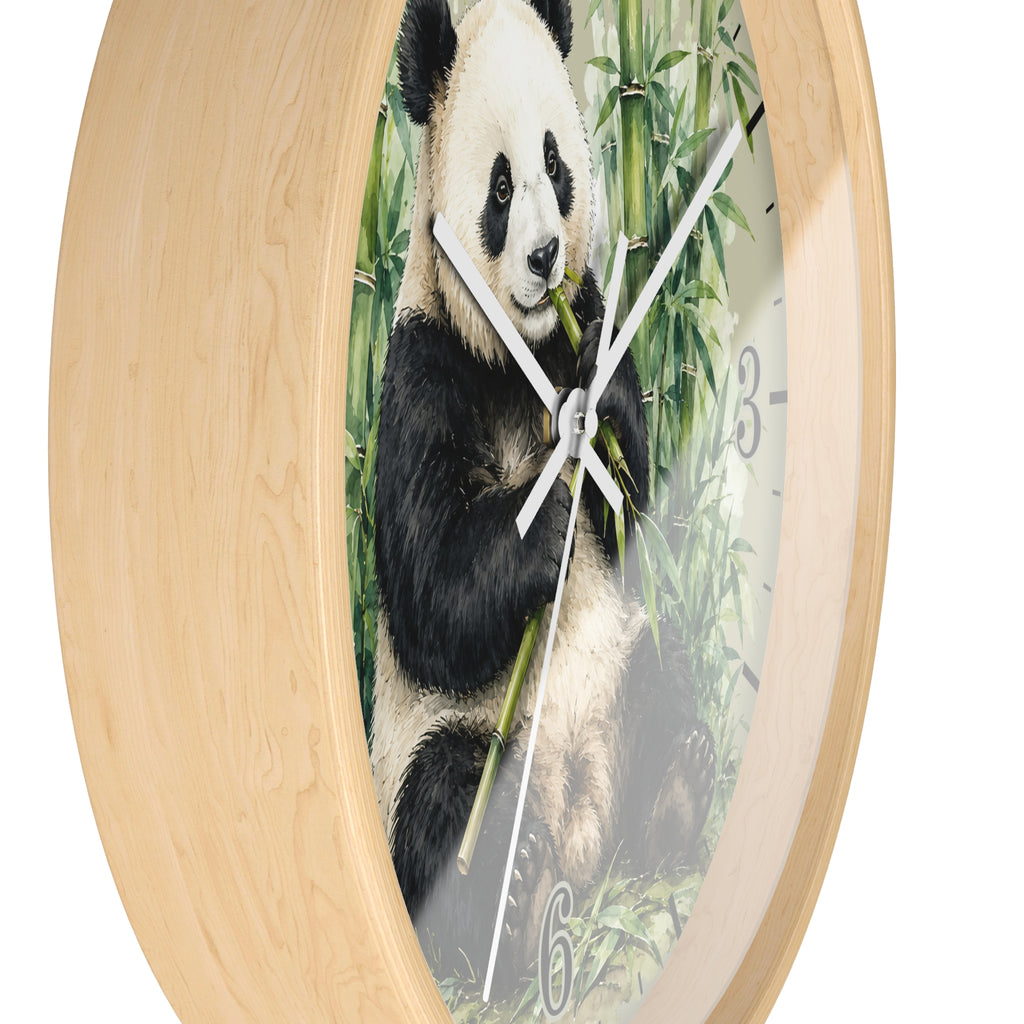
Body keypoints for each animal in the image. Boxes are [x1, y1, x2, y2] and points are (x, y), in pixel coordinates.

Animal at [370, 0, 716, 990]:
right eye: (497, 185)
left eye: (556, 165)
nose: (545, 254)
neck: (515, 354)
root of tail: (581, 847)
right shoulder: (420, 370)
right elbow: (430, 598)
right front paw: (544, 521)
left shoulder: (591, 318)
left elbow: (635, 505)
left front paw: (597, 431)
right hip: (431, 745)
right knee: (445, 790)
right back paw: (510, 886)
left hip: (625, 666)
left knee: (664, 674)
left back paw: (674, 788)